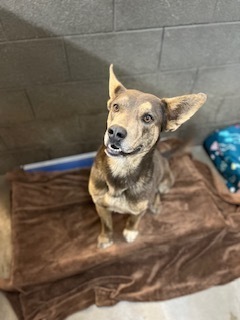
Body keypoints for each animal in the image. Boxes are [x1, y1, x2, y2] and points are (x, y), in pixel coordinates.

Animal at [88, 65, 206, 249]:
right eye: (116, 107)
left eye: (148, 118)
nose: (115, 132)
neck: (121, 168)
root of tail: (163, 156)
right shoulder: (100, 203)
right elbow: (106, 224)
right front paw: (106, 238)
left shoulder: (139, 210)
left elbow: (134, 220)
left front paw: (130, 232)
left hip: (164, 185)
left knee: (157, 193)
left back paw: (155, 204)